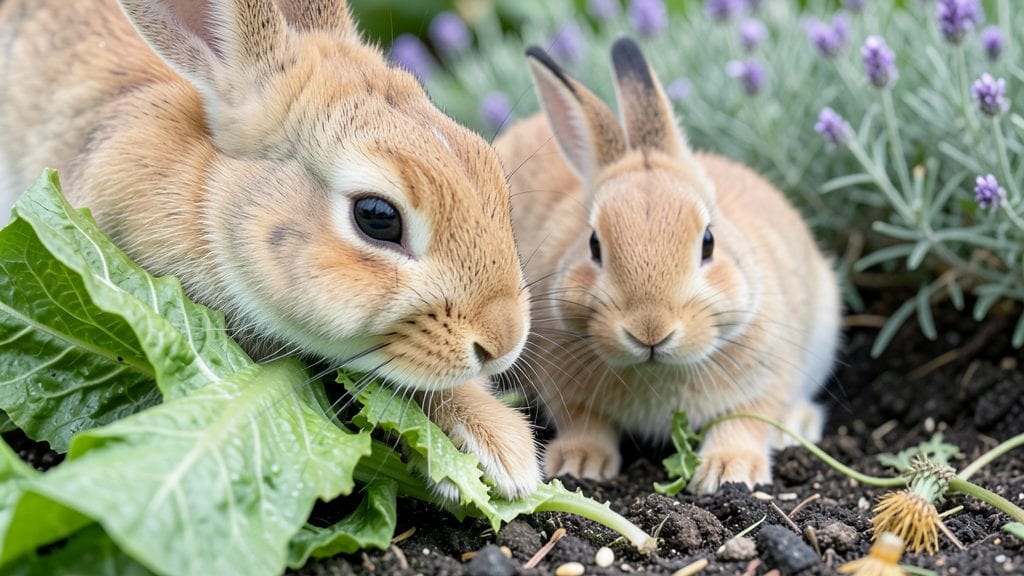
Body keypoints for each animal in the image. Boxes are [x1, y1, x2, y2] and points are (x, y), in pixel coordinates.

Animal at [494, 37, 842, 494]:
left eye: (708, 242)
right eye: (594, 246)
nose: (650, 330)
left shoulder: (768, 379)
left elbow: (747, 421)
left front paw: (729, 470)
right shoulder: (565, 386)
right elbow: (584, 422)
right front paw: (579, 462)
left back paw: (796, 425)